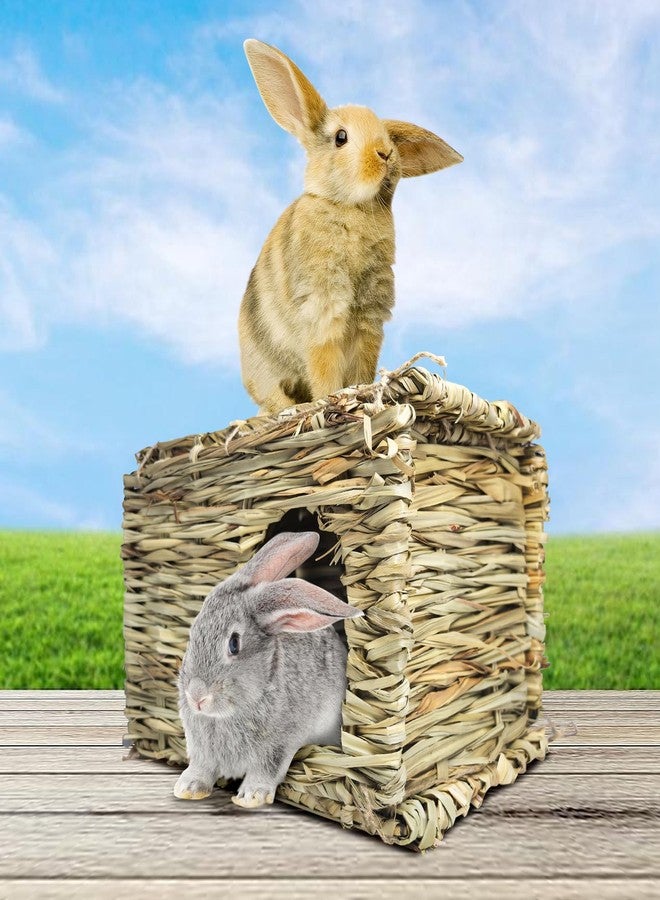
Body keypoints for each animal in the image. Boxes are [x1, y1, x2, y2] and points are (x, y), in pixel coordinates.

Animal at [173, 531, 363, 809]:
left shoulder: (279, 745)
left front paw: (251, 797)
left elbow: (267, 769)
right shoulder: (201, 749)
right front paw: (187, 788)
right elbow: (202, 767)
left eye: (234, 644)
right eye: (192, 633)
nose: (196, 696)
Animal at [239, 38, 463, 416]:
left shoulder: (369, 319)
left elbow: (362, 365)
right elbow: (324, 364)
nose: (386, 153)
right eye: (341, 137)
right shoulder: (323, 309)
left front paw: (361, 390)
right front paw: (331, 397)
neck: (350, 206)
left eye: (388, 137)